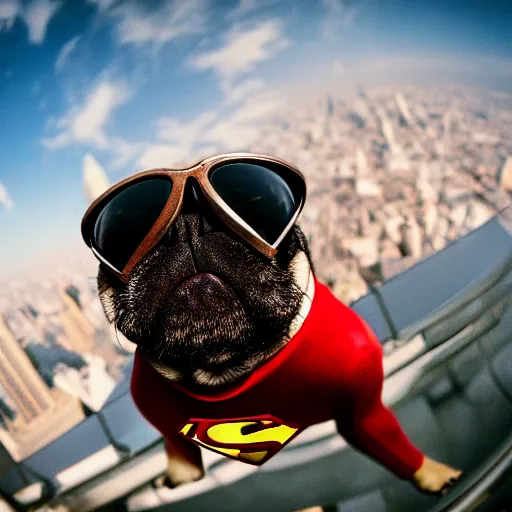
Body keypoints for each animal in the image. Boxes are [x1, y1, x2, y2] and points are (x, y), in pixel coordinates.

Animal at [90, 165, 462, 500]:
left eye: (255, 207)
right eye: (126, 235)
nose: (188, 225)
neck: (226, 366)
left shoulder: (361, 405)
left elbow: (384, 436)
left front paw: (431, 472)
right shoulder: (155, 409)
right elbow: (178, 448)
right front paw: (181, 473)